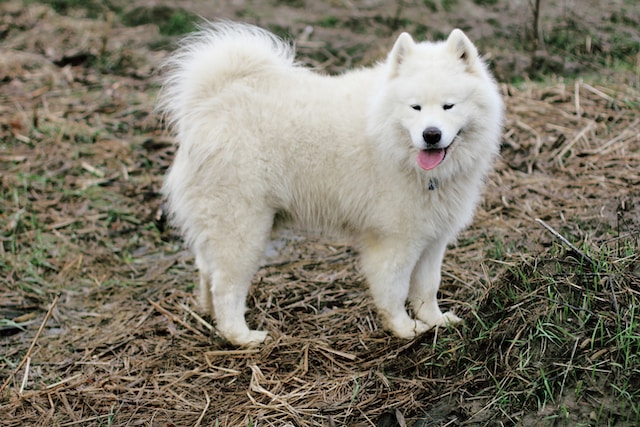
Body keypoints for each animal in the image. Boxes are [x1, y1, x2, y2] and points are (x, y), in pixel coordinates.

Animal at [158, 20, 502, 348]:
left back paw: (209, 315)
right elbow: (394, 289)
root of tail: (211, 103)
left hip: (219, 224)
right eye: (415, 107)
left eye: (448, 106)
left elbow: (428, 287)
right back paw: (241, 336)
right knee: (226, 286)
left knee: (206, 270)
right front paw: (405, 328)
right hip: (244, 229)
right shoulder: (395, 240)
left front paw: (435, 320)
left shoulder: (432, 237)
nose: (431, 134)